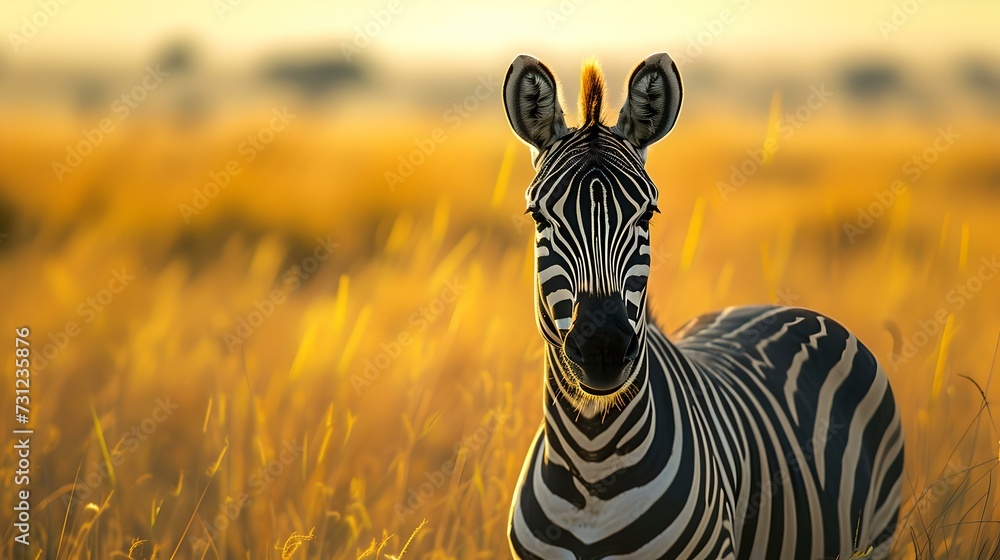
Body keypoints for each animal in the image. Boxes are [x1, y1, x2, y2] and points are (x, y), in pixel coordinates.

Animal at [502, 52, 904, 559]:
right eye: (538, 216)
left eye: (648, 214)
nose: (603, 349)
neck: (592, 460)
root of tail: (778, 309)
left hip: (878, 533)